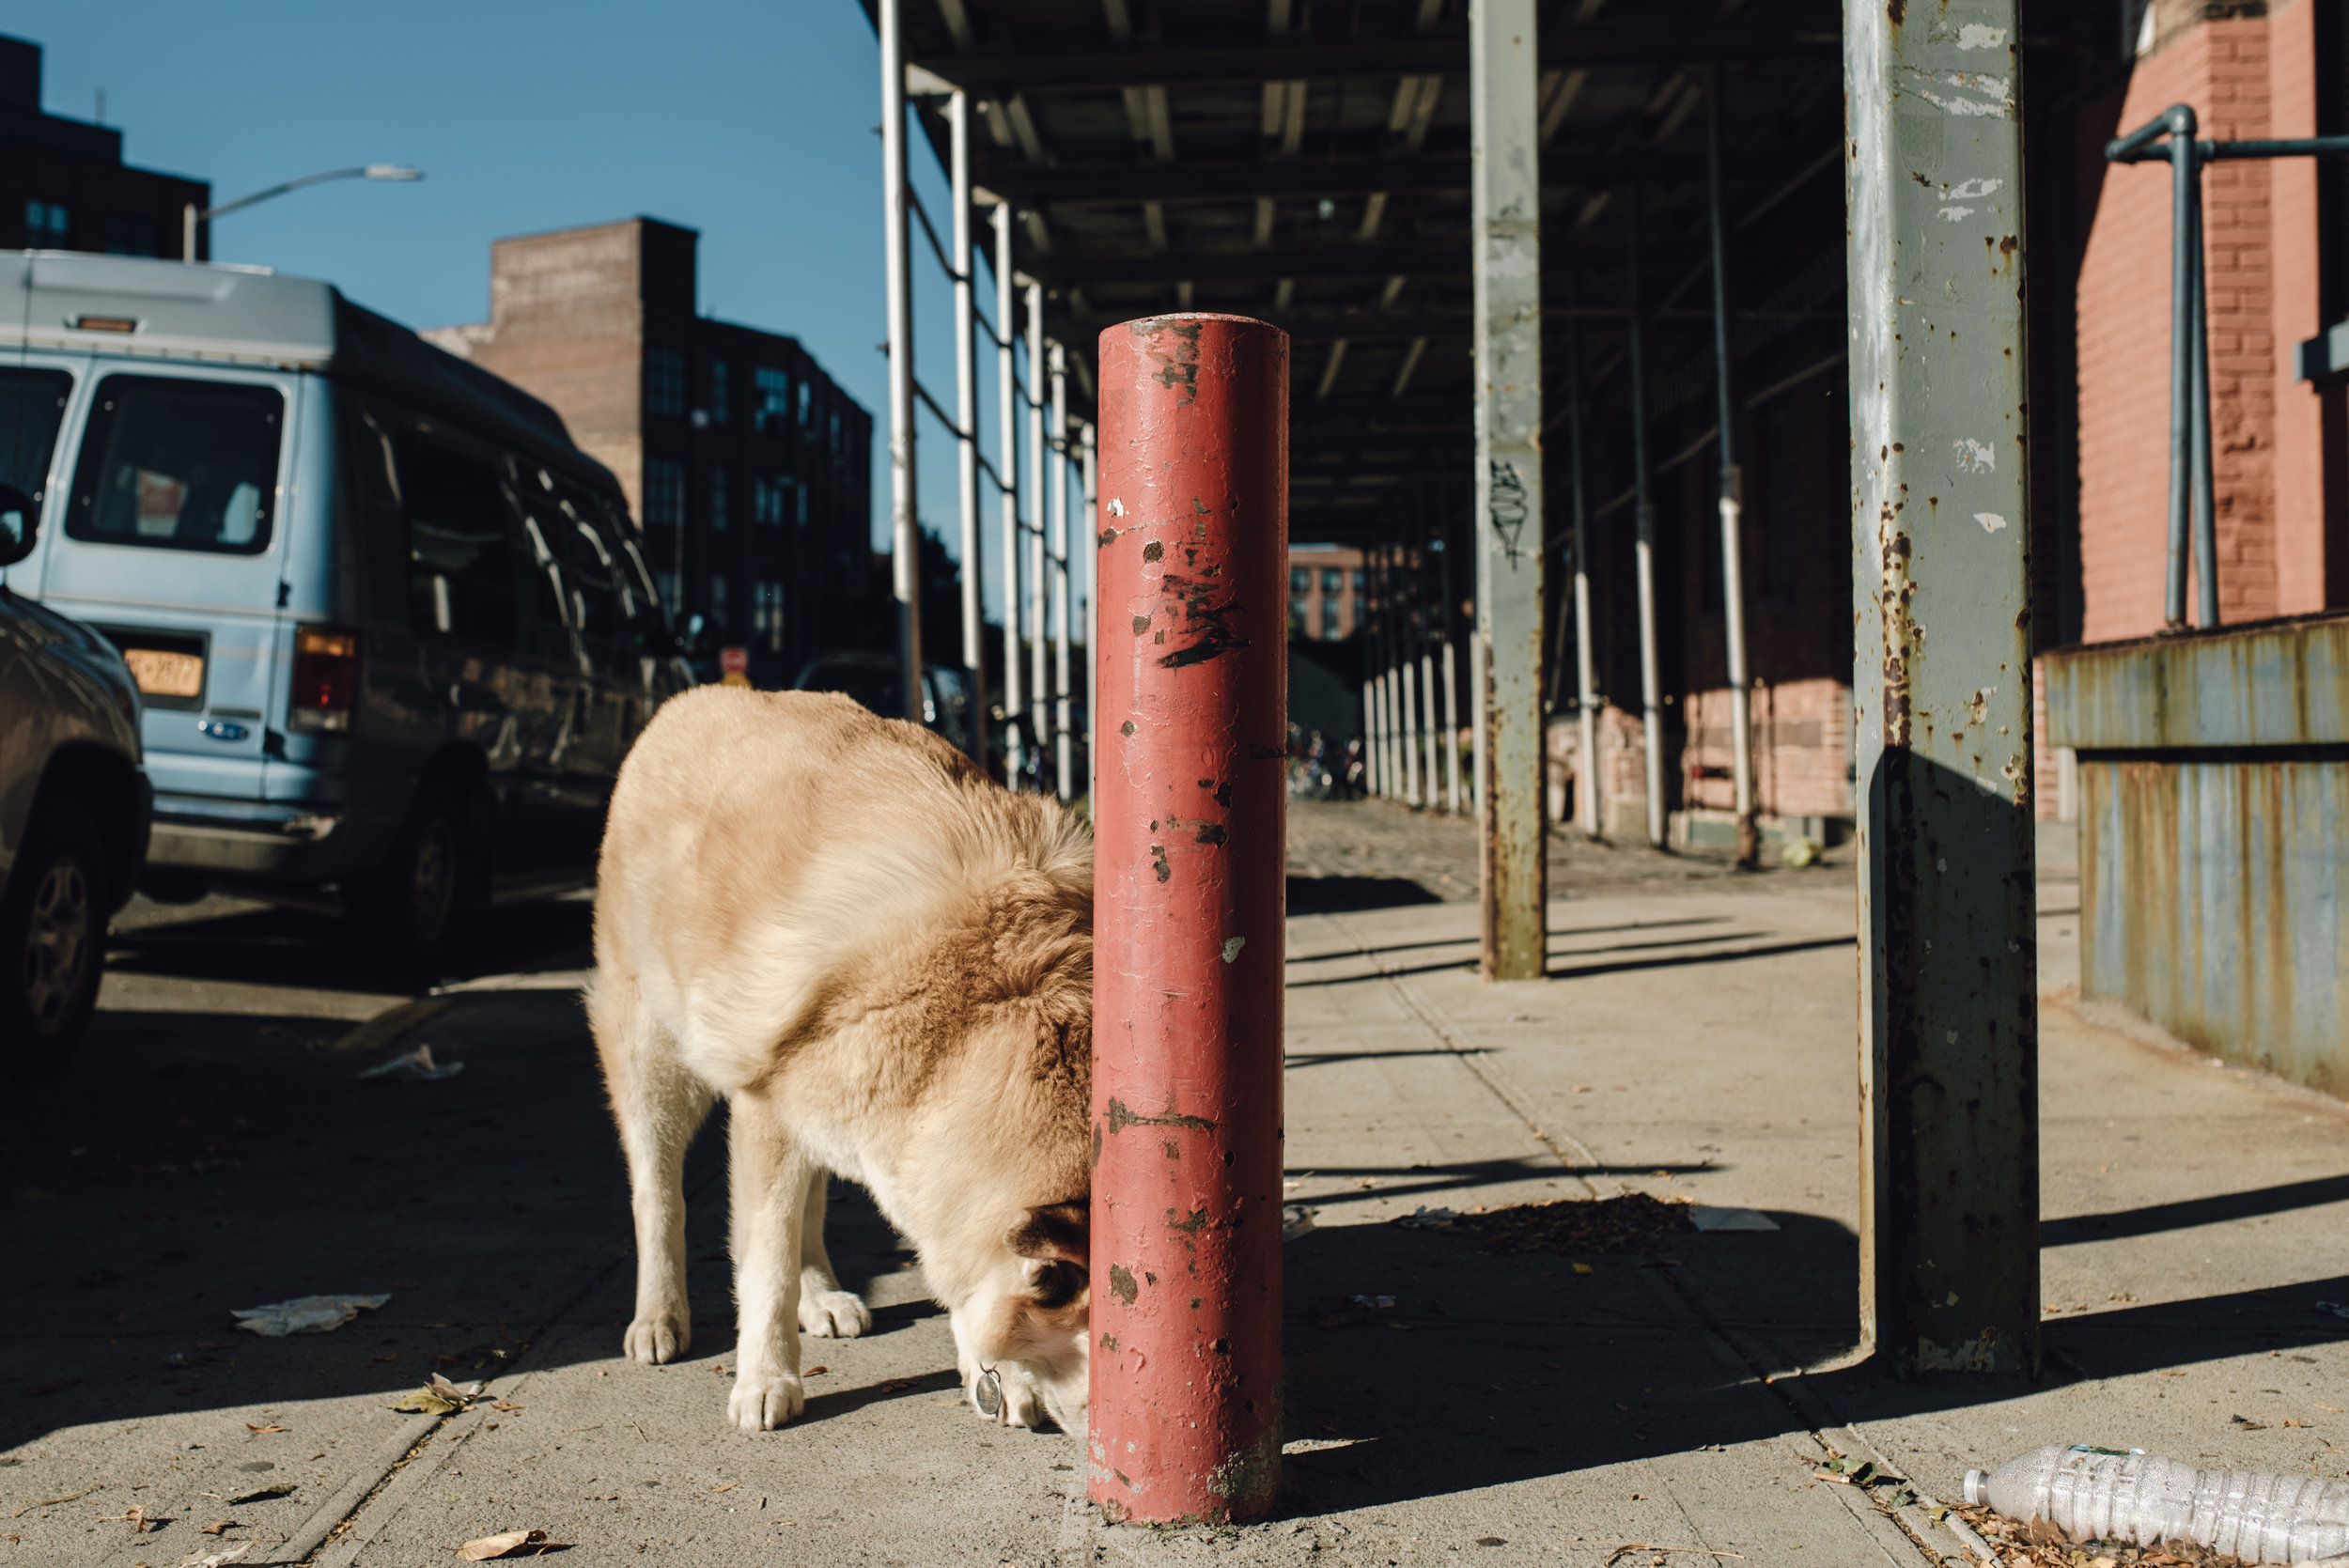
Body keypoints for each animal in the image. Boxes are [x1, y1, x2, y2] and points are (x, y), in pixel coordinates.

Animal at [592, 690, 1095, 1436]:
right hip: (654, 1063)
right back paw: (659, 1315)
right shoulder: (766, 1113)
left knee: (811, 1201)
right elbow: (763, 1267)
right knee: (658, 1195)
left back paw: (821, 1294)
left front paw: (988, 1373)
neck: (976, 1022)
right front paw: (765, 1376)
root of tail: (699, 698)